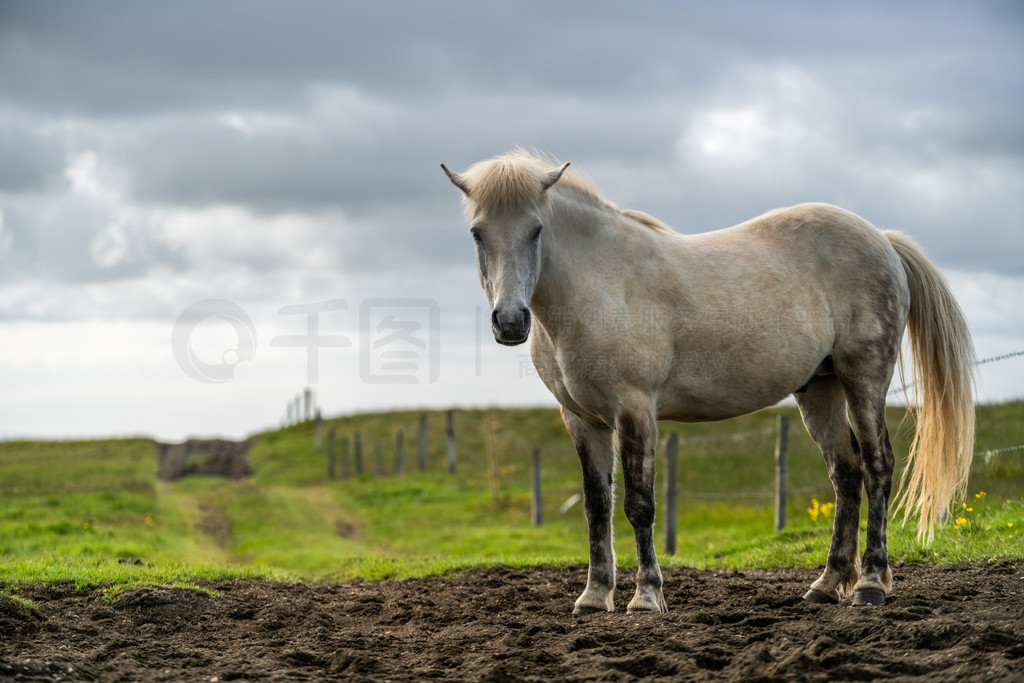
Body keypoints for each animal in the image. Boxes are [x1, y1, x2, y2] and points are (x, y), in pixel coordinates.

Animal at [442, 150, 974, 614]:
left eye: (536, 230)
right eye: (477, 233)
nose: (510, 322)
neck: (599, 286)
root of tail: (881, 239)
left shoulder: (635, 411)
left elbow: (638, 505)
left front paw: (646, 597)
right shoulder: (582, 420)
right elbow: (597, 507)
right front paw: (594, 597)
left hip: (864, 379)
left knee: (879, 466)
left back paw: (870, 584)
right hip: (818, 389)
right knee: (846, 475)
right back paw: (825, 586)